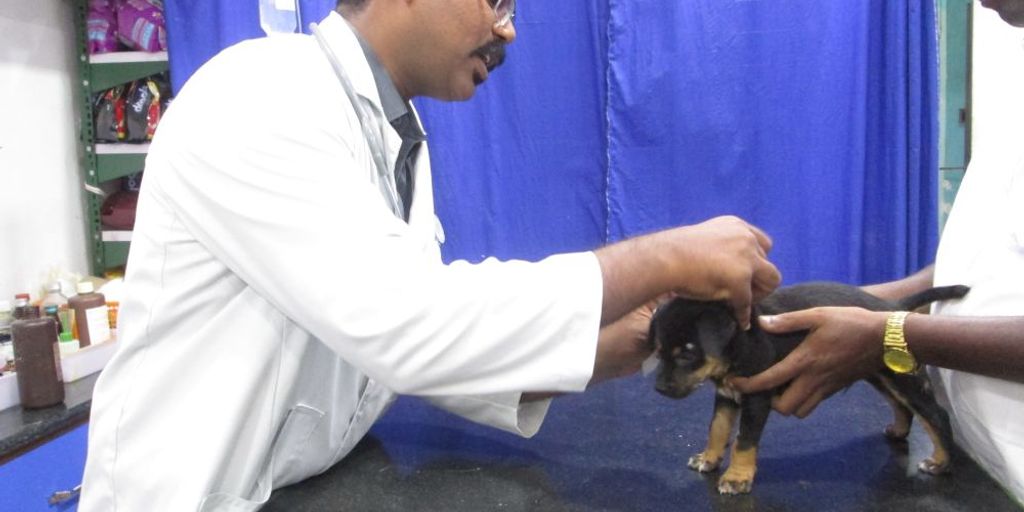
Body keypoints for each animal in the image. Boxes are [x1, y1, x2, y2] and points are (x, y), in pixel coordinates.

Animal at [647, 282, 966, 493]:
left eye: (687, 354)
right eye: (659, 351)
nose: (659, 388)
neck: (739, 342)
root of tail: (893, 307)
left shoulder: (756, 397)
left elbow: (744, 440)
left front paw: (737, 477)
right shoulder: (726, 395)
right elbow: (718, 428)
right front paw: (709, 458)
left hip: (905, 379)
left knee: (936, 415)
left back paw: (941, 462)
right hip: (878, 373)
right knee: (902, 406)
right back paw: (899, 431)